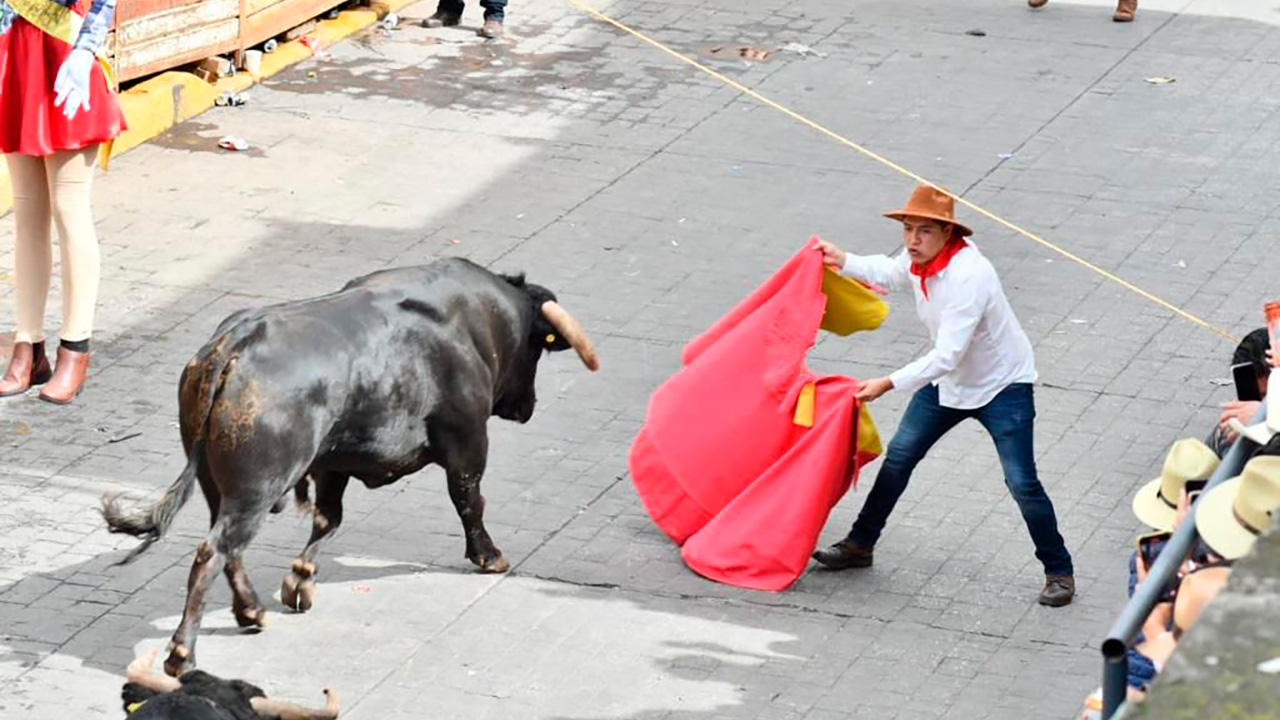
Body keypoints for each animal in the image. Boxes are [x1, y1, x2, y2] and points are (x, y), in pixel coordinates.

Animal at [102, 257, 596, 671]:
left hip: (217, 484)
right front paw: (489, 556)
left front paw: (300, 582)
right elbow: (468, 499)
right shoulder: (468, 442)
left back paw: (251, 611)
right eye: (536, 349)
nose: (526, 407)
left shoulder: (332, 464)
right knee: (213, 552)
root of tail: (234, 346)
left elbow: (328, 519)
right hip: (255, 490)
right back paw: (182, 654)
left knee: (228, 547)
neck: (473, 317)